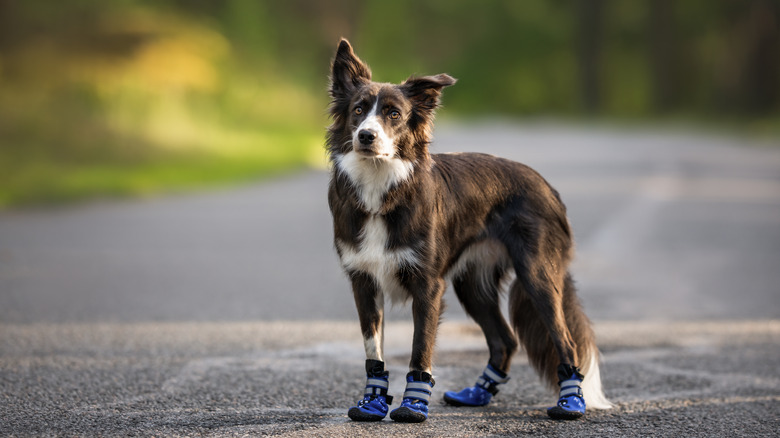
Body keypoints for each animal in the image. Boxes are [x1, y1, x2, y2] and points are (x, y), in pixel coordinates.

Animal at [322, 39, 608, 422]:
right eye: (358, 110)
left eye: (394, 114)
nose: (366, 136)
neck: (382, 188)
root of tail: (547, 185)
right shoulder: (363, 281)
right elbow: (373, 351)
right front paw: (372, 403)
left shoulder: (428, 285)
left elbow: (420, 347)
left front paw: (413, 406)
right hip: (473, 284)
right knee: (505, 339)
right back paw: (478, 393)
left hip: (537, 276)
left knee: (565, 339)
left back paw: (570, 402)